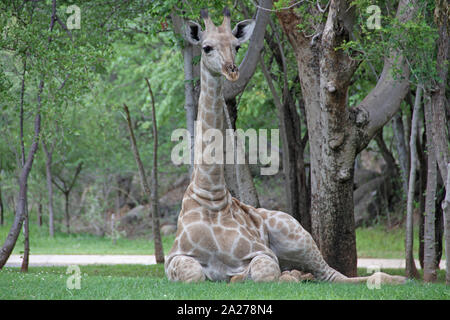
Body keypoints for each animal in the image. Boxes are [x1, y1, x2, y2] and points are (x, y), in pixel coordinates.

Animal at [164, 6, 404, 284]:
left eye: (237, 46)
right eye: (206, 47)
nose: (232, 70)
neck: (210, 195)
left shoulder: (263, 253)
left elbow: (264, 273)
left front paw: (245, 277)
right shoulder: (174, 259)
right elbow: (194, 274)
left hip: (296, 236)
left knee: (332, 275)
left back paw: (393, 279)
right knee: (314, 275)